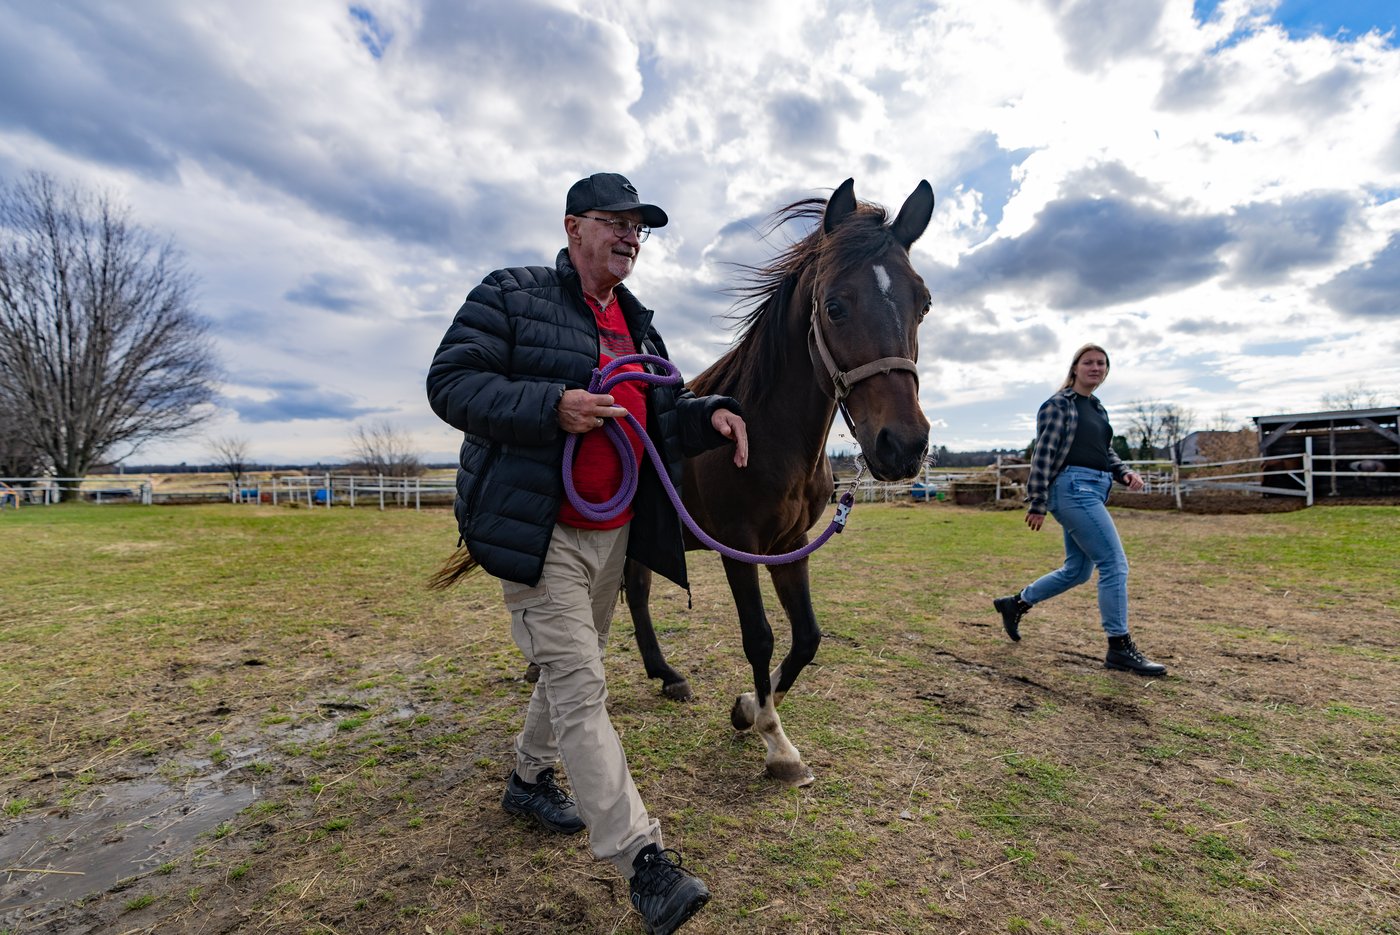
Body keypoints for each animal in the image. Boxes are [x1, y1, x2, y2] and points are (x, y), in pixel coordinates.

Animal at [623, 178, 935, 786]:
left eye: (924, 303)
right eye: (834, 305)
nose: (903, 446)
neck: (762, 430)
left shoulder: (791, 545)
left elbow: (808, 637)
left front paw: (748, 709)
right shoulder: (738, 547)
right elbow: (760, 635)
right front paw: (776, 743)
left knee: (637, 592)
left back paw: (666, 675)